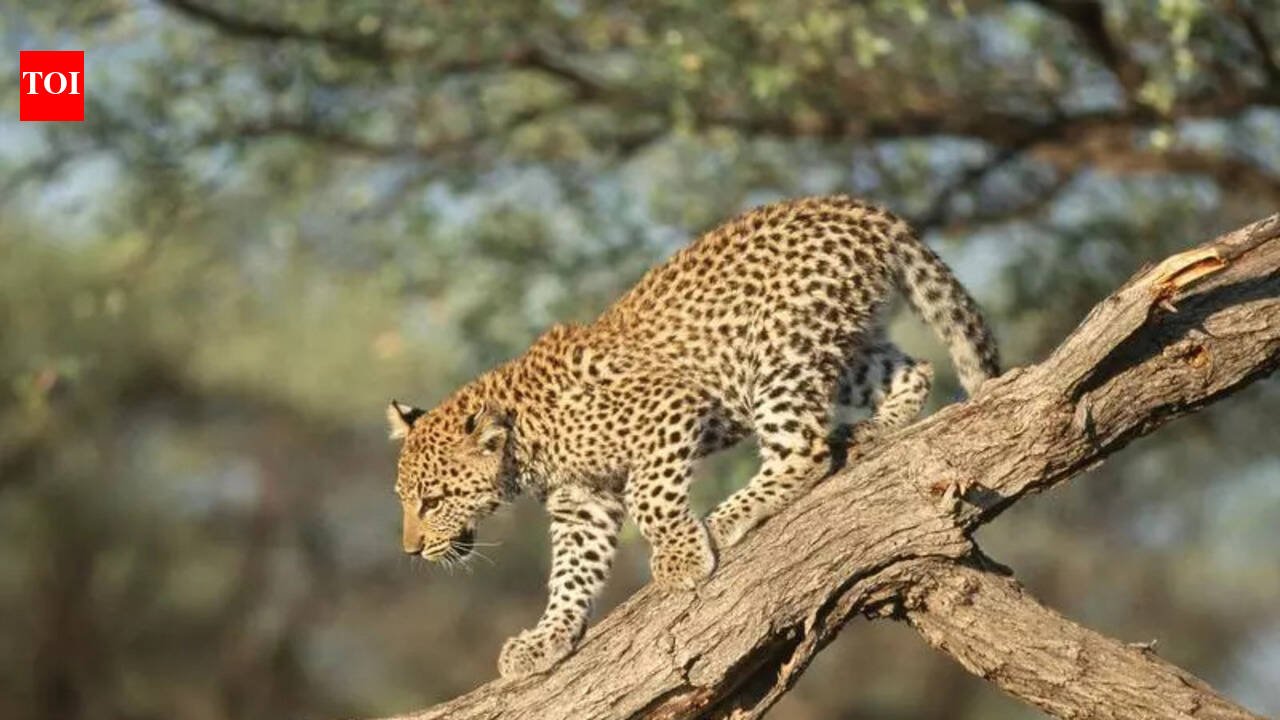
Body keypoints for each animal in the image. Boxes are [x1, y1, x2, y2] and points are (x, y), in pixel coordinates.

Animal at [386, 195, 1000, 679]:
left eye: (432, 501)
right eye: (408, 502)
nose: (411, 550)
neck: (527, 443)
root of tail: (851, 205)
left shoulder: (668, 407)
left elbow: (648, 498)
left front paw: (679, 557)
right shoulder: (582, 501)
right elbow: (571, 574)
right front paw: (546, 640)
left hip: (777, 350)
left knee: (804, 448)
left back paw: (727, 516)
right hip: (839, 346)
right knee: (913, 368)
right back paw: (876, 427)